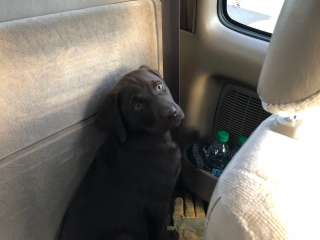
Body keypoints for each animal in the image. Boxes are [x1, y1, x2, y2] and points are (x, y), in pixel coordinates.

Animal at [60, 66, 185, 240]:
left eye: (159, 86)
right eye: (137, 106)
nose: (172, 113)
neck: (144, 138)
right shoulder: (157, 203)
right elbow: (162, 228)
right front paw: (171, 234)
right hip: (123, 235)